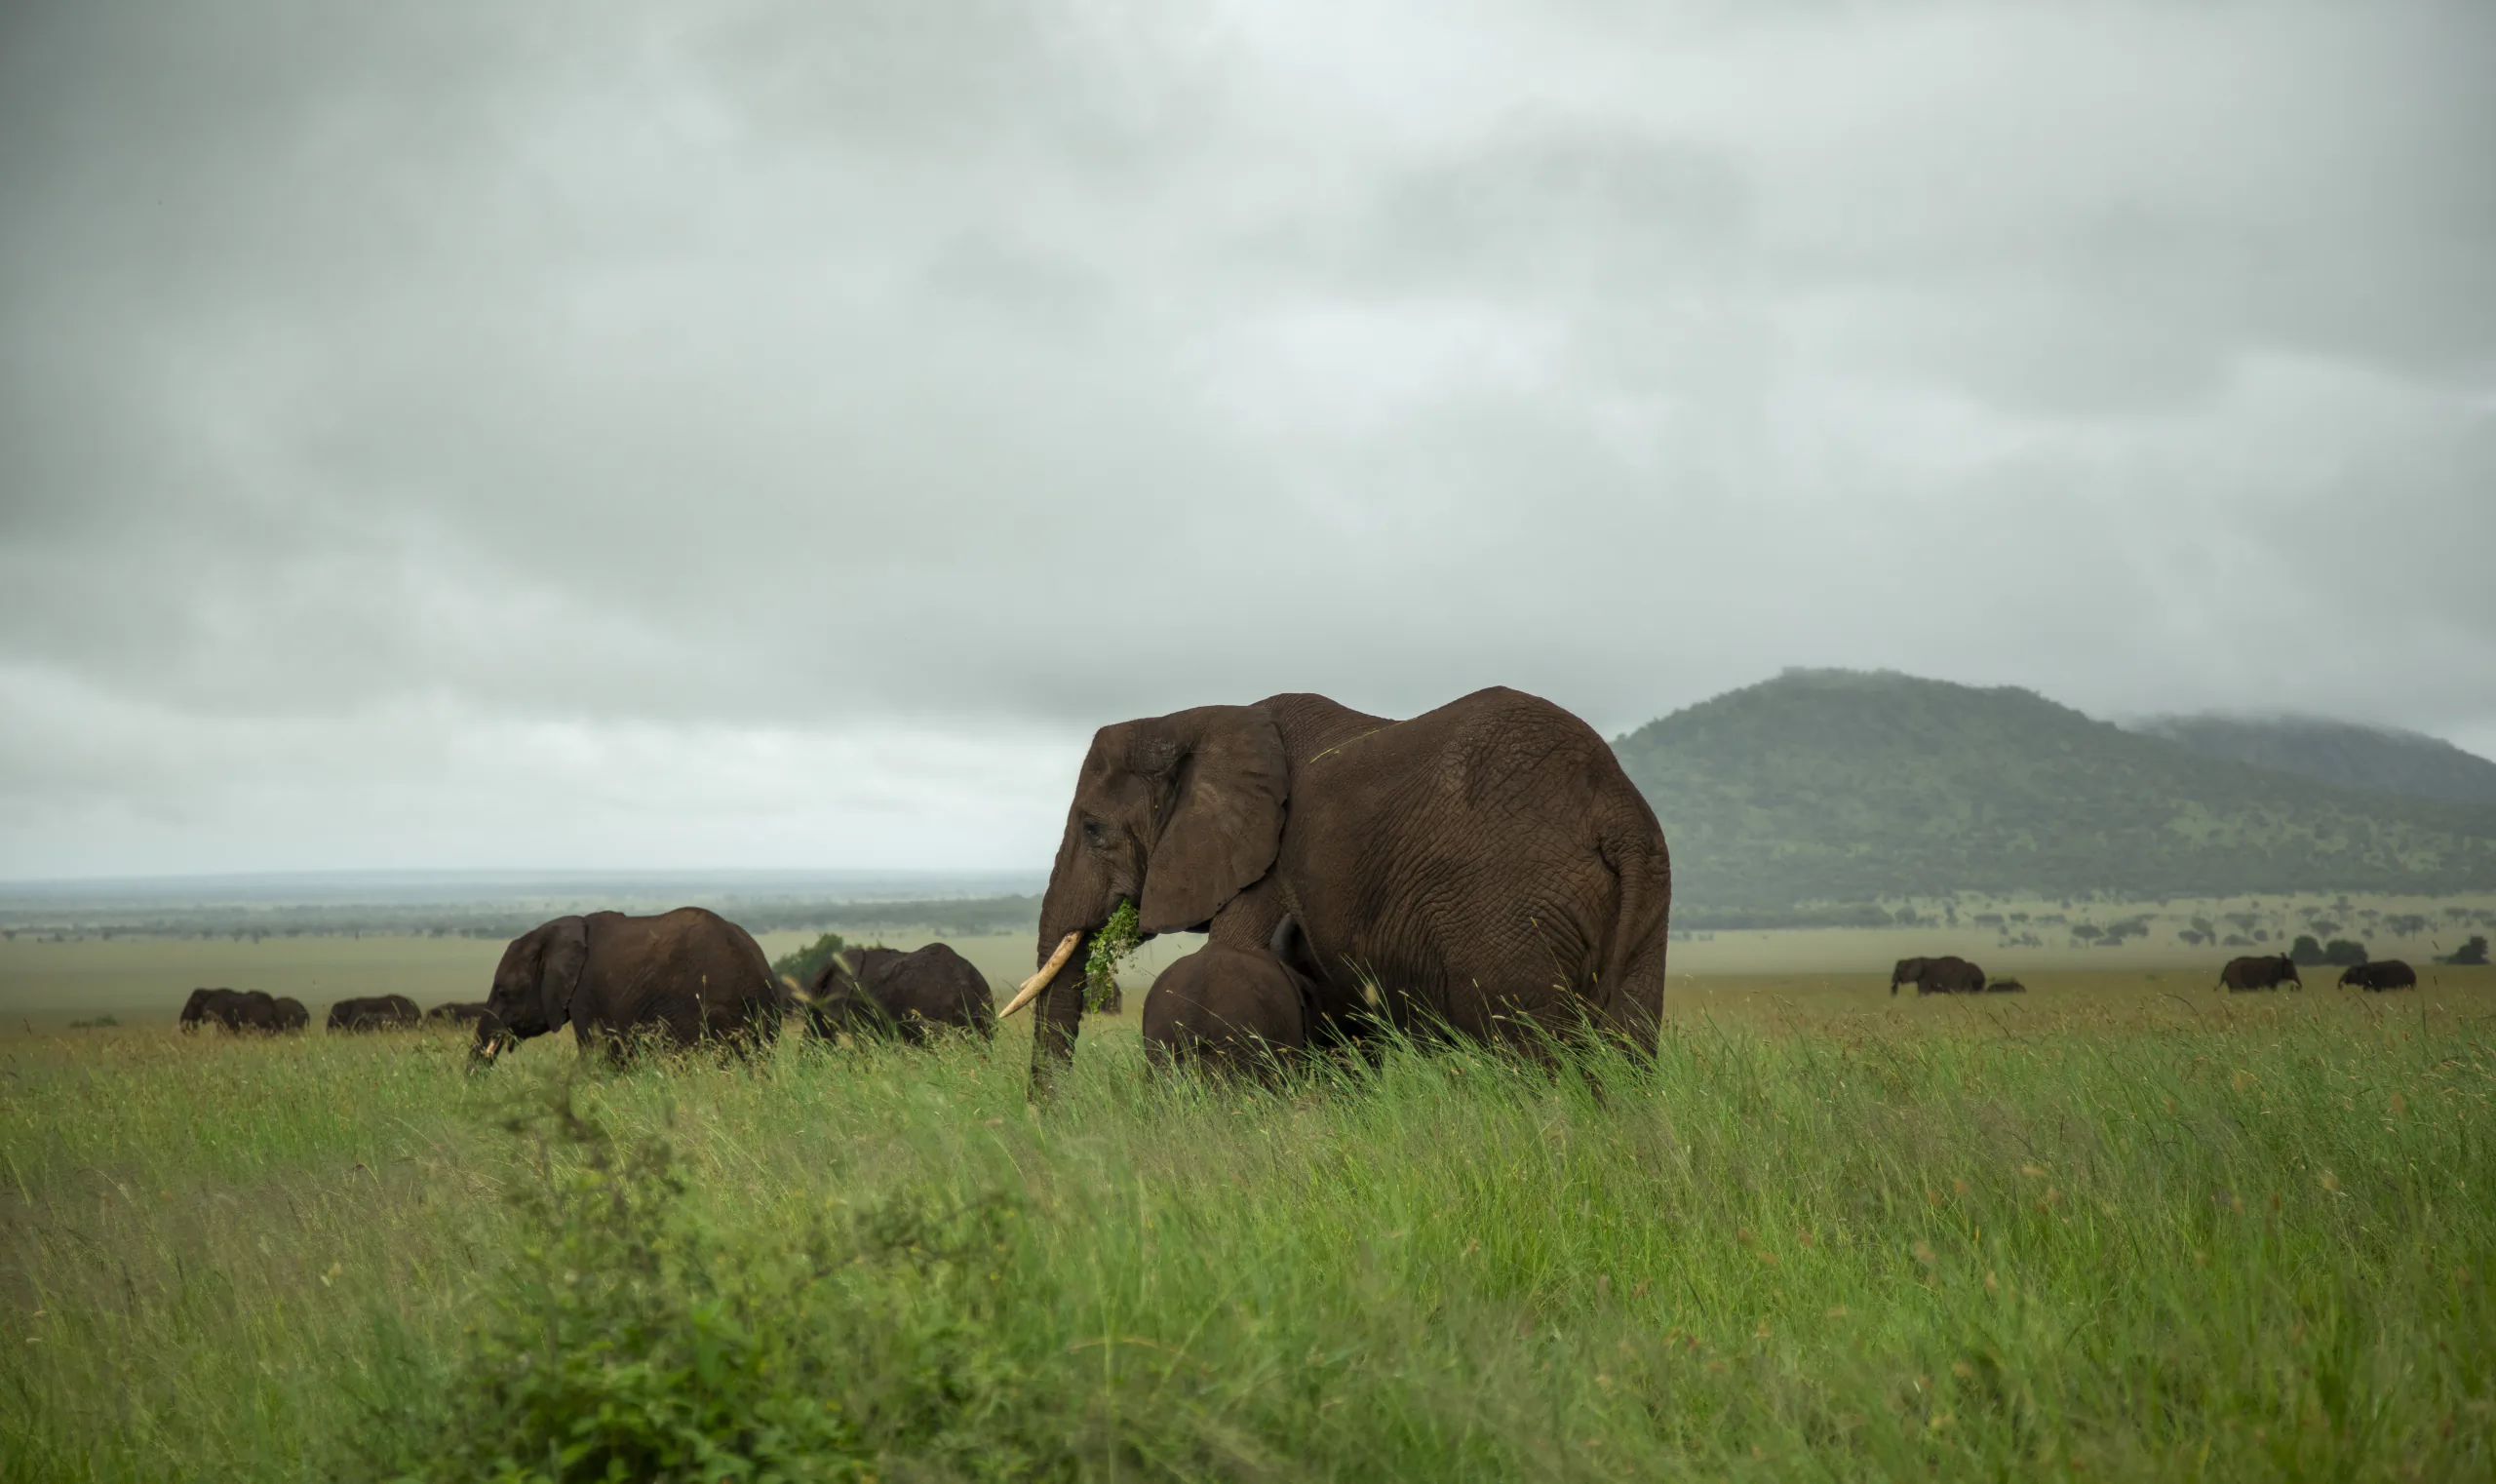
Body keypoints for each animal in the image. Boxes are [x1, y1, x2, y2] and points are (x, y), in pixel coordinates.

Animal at [999, 687, 1673, 1092]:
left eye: (1093, 828)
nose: (1045, 1119)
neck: (1196, 720)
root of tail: (1613, 809)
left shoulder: (1267, 872)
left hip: (1508, 910)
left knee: (1529, 1060)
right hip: (1647, 900)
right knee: (1630, 1045)